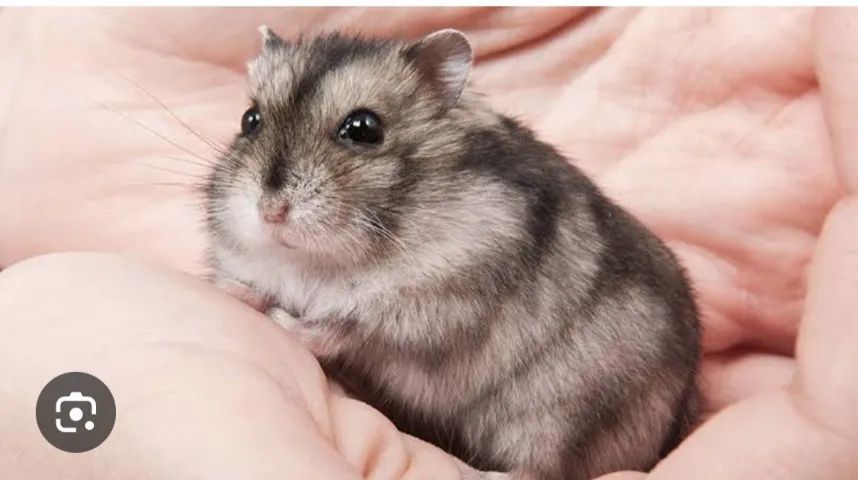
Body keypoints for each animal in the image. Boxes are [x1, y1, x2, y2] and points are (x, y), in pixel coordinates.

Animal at [205, 26, 700, 480]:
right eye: (250, 119)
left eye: (363, 128)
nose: (270, 212)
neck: (322, 261)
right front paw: (231, 288)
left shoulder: (437, 306)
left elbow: (344, 328)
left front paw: (282, 320)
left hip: (562, 414)